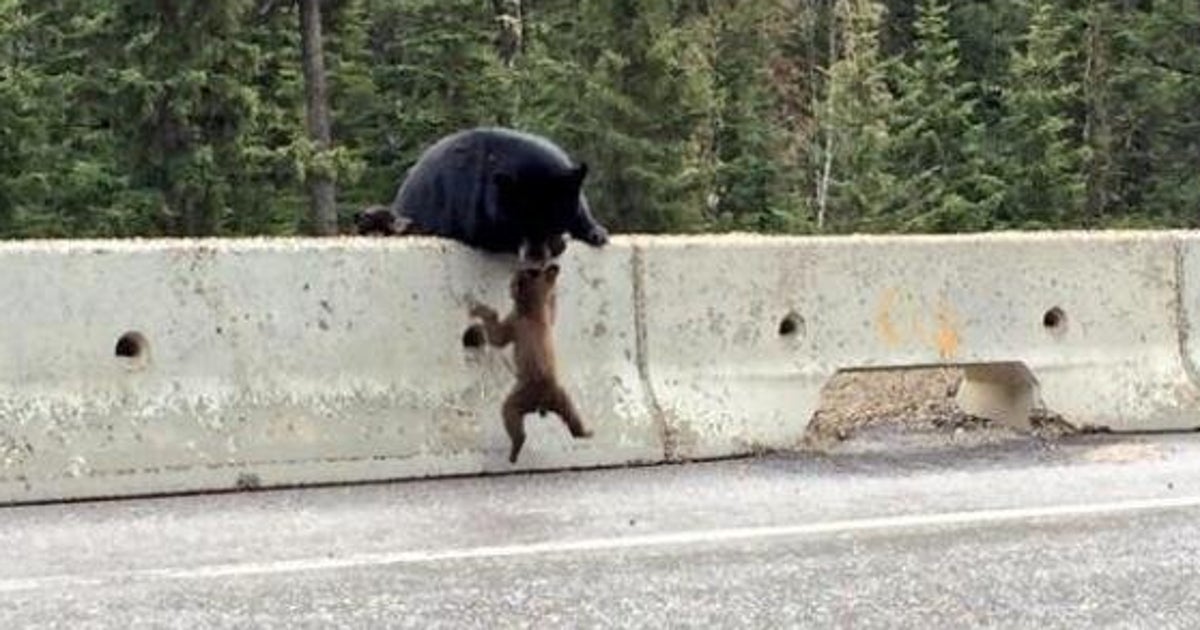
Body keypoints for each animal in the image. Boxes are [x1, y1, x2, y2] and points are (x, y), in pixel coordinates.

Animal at [387, 127, 609, 262]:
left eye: (552, 219)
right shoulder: (475, 205)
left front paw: (596, 233)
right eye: (520, 222)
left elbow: (580, 207)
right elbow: (489, 234)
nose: (535, 256)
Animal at [466, 263, 592, 463]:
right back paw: (583, 432)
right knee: (572, 413)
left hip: (523, 395)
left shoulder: (516, 323)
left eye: (515, 281)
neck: (534, 308)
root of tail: (543, 400)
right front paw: (554, 277)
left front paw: (480, 310)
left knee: (510, 413)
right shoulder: (546, 314)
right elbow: (552, 307)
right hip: (560, 396)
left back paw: (515, 448)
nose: (510, 285)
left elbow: (497, 337)